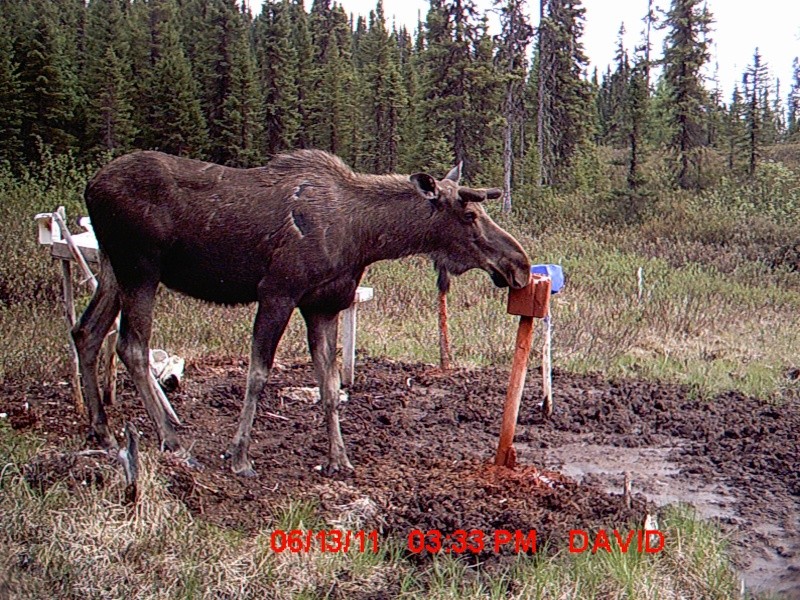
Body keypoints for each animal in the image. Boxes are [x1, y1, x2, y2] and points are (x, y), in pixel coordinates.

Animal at [72, 151, 528, 478]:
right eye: (470, 215)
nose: (520, 264)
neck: (365, 237)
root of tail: (89, 187)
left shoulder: (323, 305)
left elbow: (330, 386)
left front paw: (338, 459)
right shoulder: (278, 292)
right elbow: (257, 375)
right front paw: (240, 456)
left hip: (113, 267)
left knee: (86, 332)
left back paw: (101, 429)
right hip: (141, 268)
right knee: (132, 346)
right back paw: (172, 440)